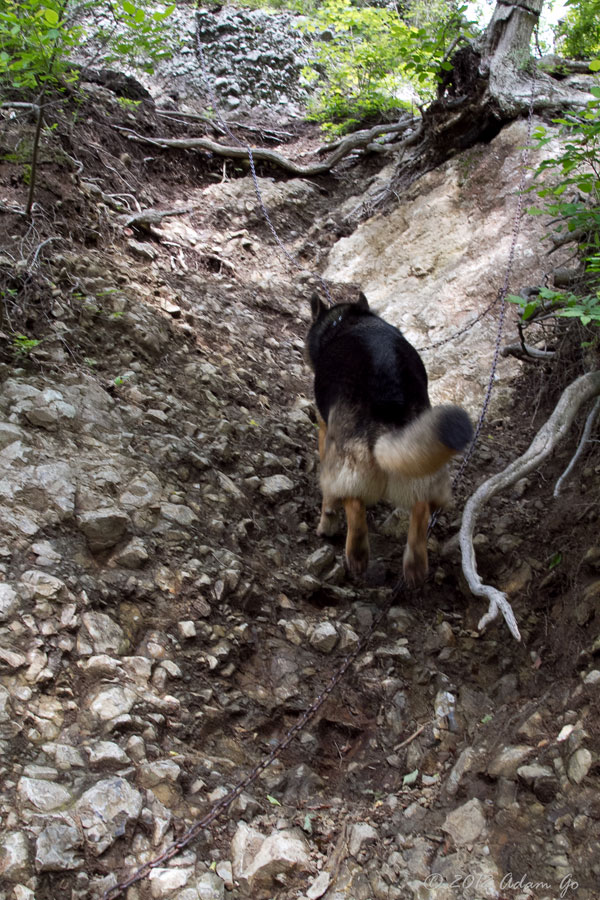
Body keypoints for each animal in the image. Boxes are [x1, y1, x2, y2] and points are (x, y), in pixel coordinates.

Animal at [304, 292, 474, 588]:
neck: (346, 320)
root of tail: (389, 397)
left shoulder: (325, 429)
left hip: (346, 457)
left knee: (352, 502)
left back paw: (354, 551)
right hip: (421, 454)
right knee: (421, 507)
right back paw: (415, 564)